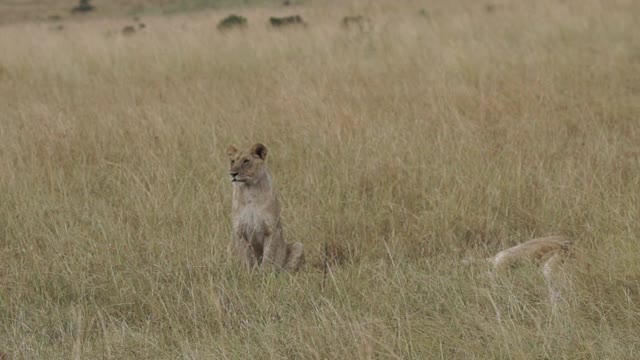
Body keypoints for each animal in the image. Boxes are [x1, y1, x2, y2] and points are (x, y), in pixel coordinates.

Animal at [225, 142, 304, 272]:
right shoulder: (239, 231)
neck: (249, 190)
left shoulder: (271, 230)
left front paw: (264, 274)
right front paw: (247, 274)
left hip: (299, 246)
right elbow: (245, 257)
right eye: (232, 161)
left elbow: (268, 256)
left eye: (246, 161)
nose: (233, 174)